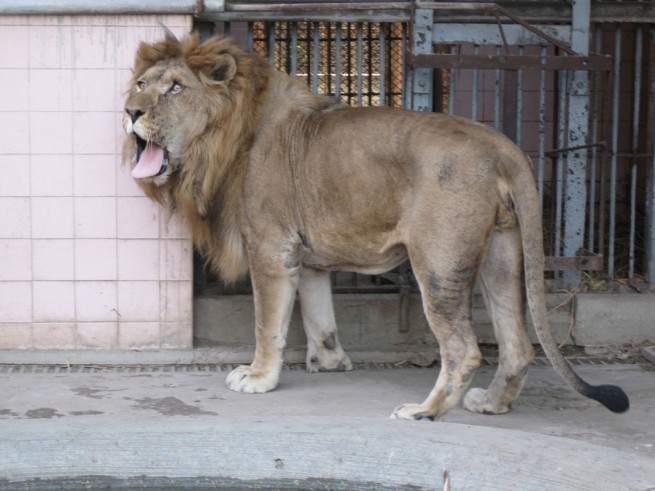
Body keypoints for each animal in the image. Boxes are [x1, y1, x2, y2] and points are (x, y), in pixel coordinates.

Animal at [121, 32, 632, 420]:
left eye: (174, 88)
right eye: (141, 84)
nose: (130, 112)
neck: (221, 142)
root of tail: (500, 144)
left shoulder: (270, 248)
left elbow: (269, 323)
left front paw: (259, 377)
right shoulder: (305, 255)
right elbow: (318, 314)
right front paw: (330, 361)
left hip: (439, 264)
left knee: (464, 348)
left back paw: (425, 411)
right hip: (501, 256)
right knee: (517, 343)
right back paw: (490, 403)